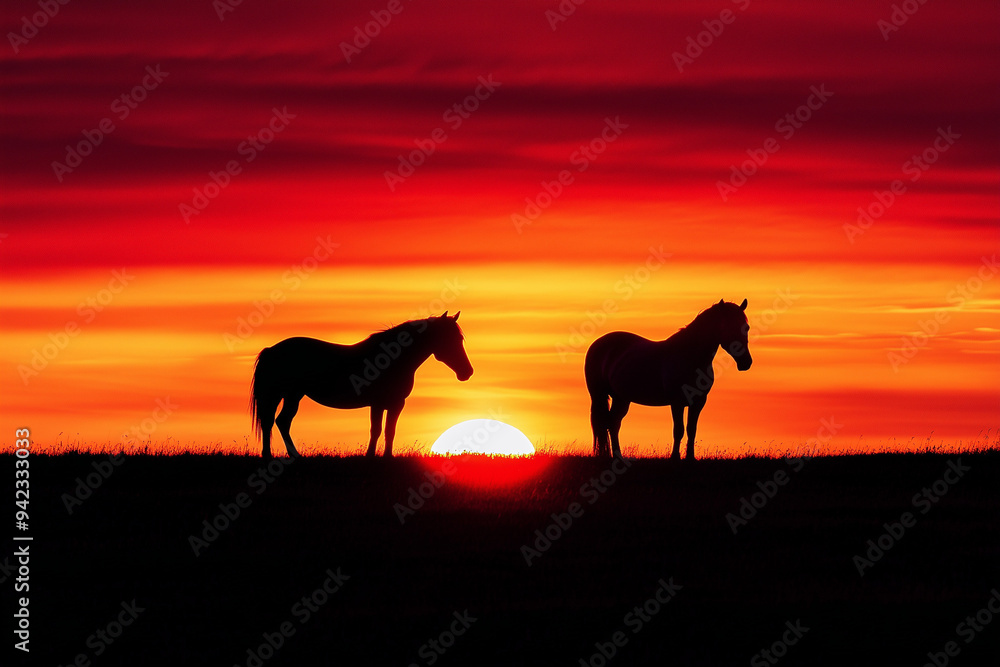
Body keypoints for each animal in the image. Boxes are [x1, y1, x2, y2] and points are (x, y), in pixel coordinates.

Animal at [248, 314, 470, 460]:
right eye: (450, 339)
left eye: (459, 338)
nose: (467, 372)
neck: (393, 359)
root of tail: (271, 350)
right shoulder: (379, 404)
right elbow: (377, 429)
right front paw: (371, 456)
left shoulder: (395, 404)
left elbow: (389, 430)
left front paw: (386, 457)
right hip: (279, 394)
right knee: (271, 422)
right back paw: (270, 456)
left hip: (292, 395)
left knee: (281, 421)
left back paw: (292, 455)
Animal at [584, 302, 752, 462]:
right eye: (729, 326)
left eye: (747, 327)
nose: (746, 362)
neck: (689, 357)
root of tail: (597, 344)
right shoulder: (677, 402)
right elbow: (678, 430)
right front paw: (675, 457)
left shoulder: (698, 402)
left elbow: (692, 429)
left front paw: (690, 457)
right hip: (599, 395)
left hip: (621, 398)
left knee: (613, 423)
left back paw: (618, 456)